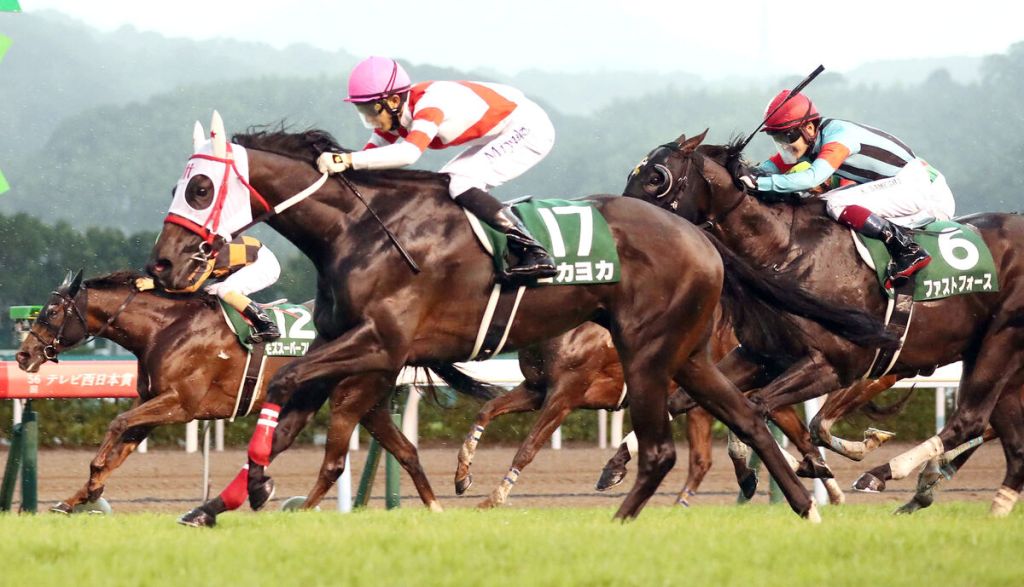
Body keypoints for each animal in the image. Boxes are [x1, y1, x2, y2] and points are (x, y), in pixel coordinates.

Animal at [14, 270, 495, 525]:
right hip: (370, 403)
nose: (22, 355)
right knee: (407, 451)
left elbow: (115, 425)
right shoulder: (154, 404)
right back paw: (435, 507)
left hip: (348, 399)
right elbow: (121, 443)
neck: (164, 328)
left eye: (51, 311)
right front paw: (76, 498)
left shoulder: (181, 404)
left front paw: (93, 484)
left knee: (336, 463)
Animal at [146, 117, 893, 525]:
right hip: (689, 354)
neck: (359, 228)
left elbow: (285, 387)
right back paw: (806, 504)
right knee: (748, 418)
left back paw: (621, 520)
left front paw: (262, 488)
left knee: (663, 447)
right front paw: (218, 504)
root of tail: (702, 236)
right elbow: (292, 411)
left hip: (649, 352)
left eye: (201, 187)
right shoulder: (347, 343)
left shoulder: (379, 343)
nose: (164, 262)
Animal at [623, 130, 1024, 513]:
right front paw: (618, 465)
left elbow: (757, 407)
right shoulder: (762, 355)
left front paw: (798, 468)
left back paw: (885, 474)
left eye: (657, 177)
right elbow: (687, 401)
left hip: (1001, 339)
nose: (631, 229)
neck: (788, 251)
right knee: (1008, 442)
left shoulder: (836, 364)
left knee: (969, 420)